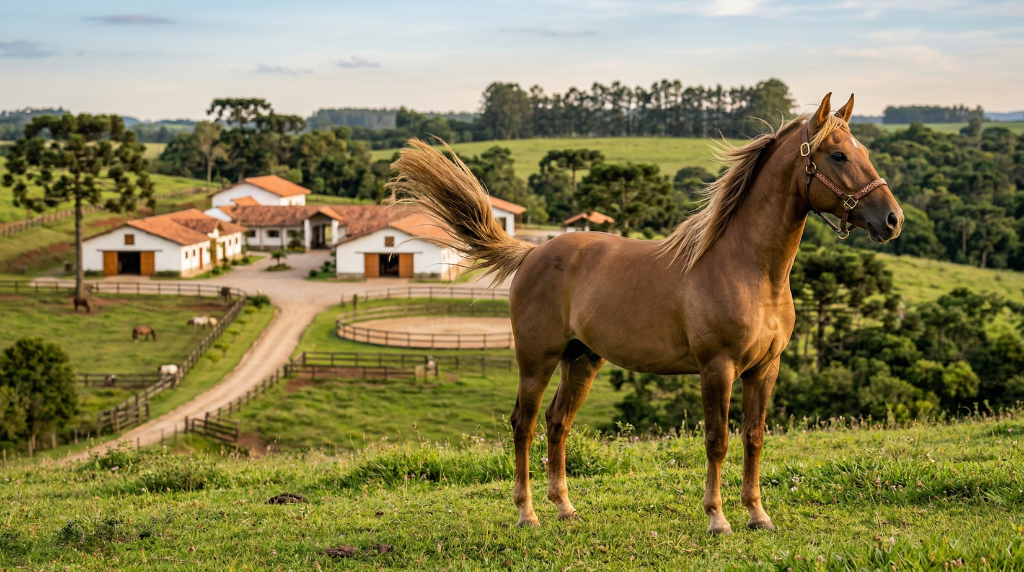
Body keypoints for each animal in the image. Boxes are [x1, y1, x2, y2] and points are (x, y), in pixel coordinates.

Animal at [388, 93, 904, 534]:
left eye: (862, 151)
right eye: (838, 156)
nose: (892, 220)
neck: (749, 269)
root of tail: (533, 253)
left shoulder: (765, 368)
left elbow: (754, 438)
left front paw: (758, 515)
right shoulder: (717, 368)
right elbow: (716, 440)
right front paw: (718, 519)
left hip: (582, 360)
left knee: (558, 422)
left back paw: (565, 508)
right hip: (536, 361)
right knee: (524, 424)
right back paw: (527, 513)